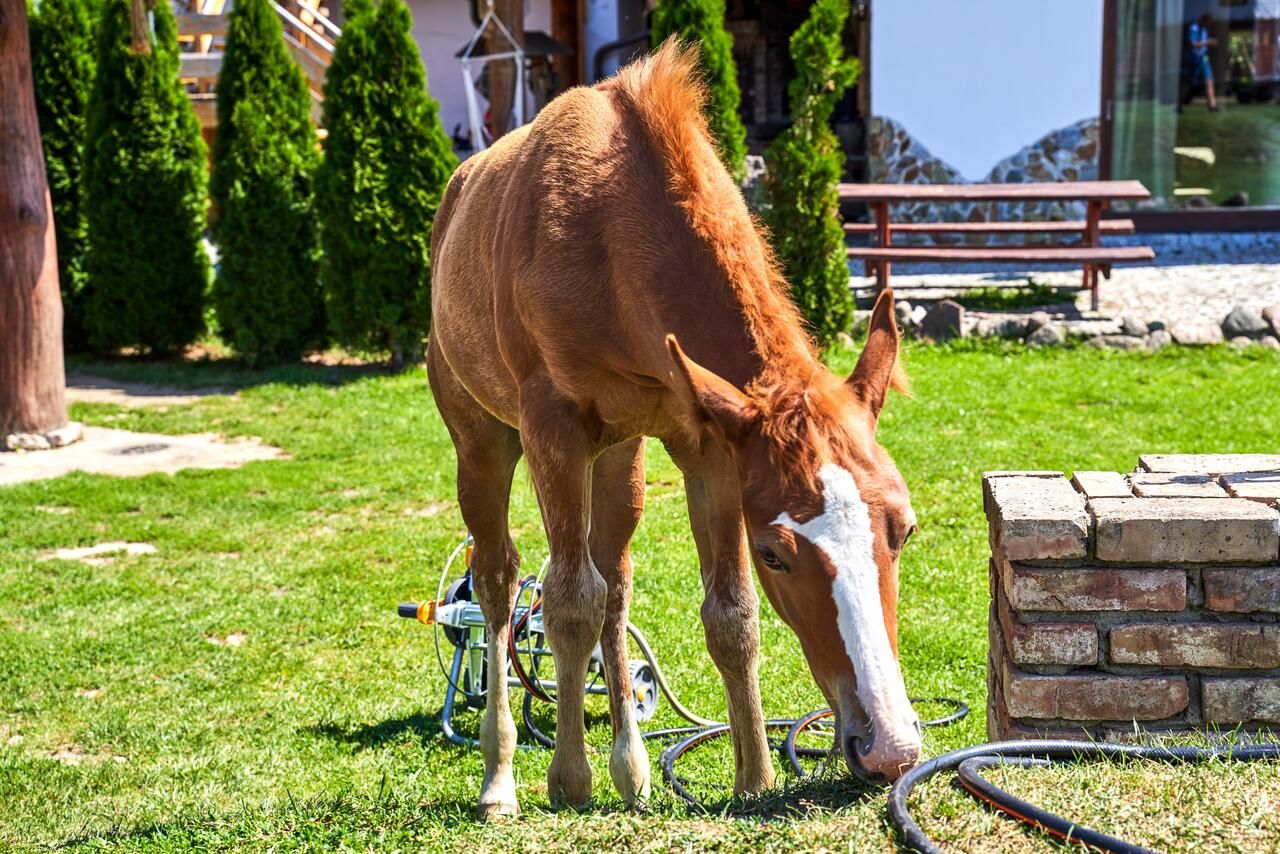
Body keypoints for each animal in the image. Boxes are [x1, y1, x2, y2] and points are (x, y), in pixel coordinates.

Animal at [430, 40, 921, 814]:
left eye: (902, 529)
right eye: (776, 552)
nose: (891, 747)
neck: (609, 232)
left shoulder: (710, 447)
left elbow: (730, 615)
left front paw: (754, 778)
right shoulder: (552, 429)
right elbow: (566, 602)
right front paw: (568, 781)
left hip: (620, 452)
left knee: (614, 577)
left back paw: (631, 770)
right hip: (483, 438)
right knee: (501, 577)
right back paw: (500, 779)